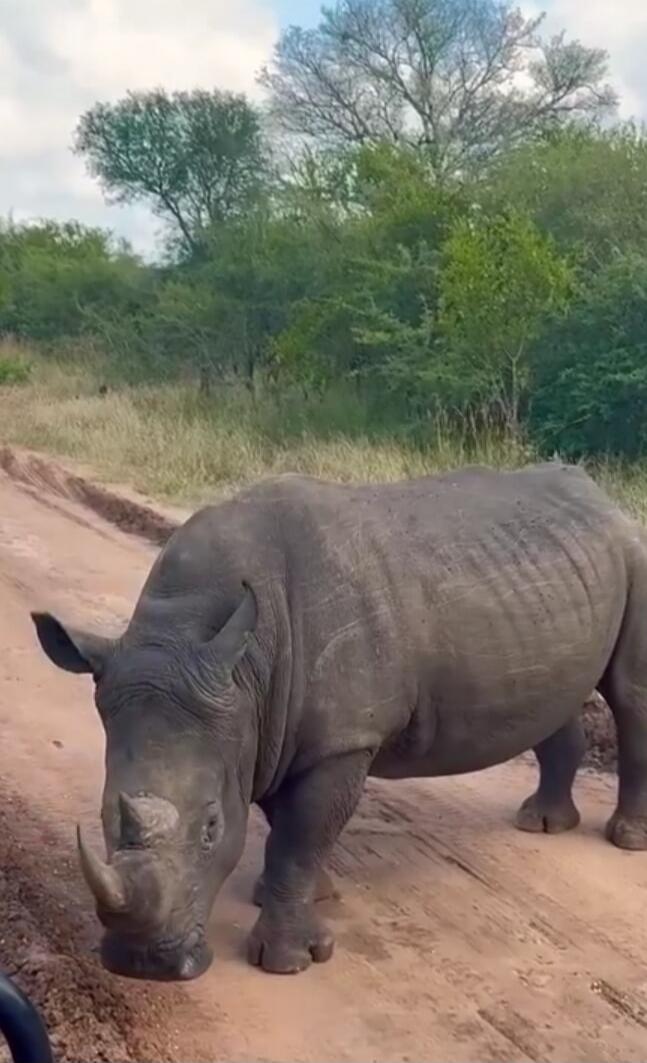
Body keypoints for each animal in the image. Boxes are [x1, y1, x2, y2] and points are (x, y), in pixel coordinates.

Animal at [31, 463, 647, 980]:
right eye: (105, 815)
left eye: (210, 828)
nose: (143, 967)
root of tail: (603, 498)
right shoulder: (270, 729)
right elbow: (289, 825)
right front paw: (307, 897)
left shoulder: (339, 740)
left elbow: (301, 836)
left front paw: (289, 962)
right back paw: (541, 825)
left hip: (634, 552)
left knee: (629, 695)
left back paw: (625, 840)